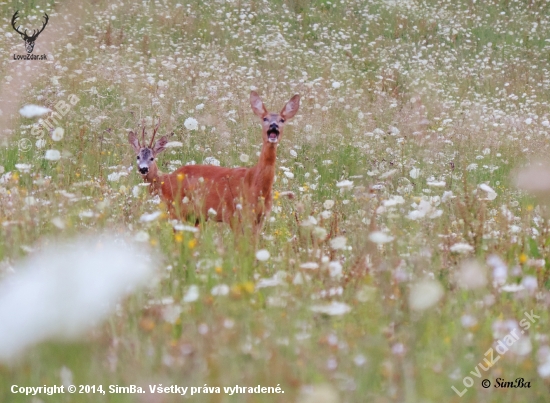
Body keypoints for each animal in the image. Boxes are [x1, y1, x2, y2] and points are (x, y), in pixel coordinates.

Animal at [129, 91, 302, 234]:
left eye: (282, 119)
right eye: (265, 118)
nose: (274, 125)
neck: (256, 183)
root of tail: (171, 176)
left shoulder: (257, 218)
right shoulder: (234, 215)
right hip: (178, 210)